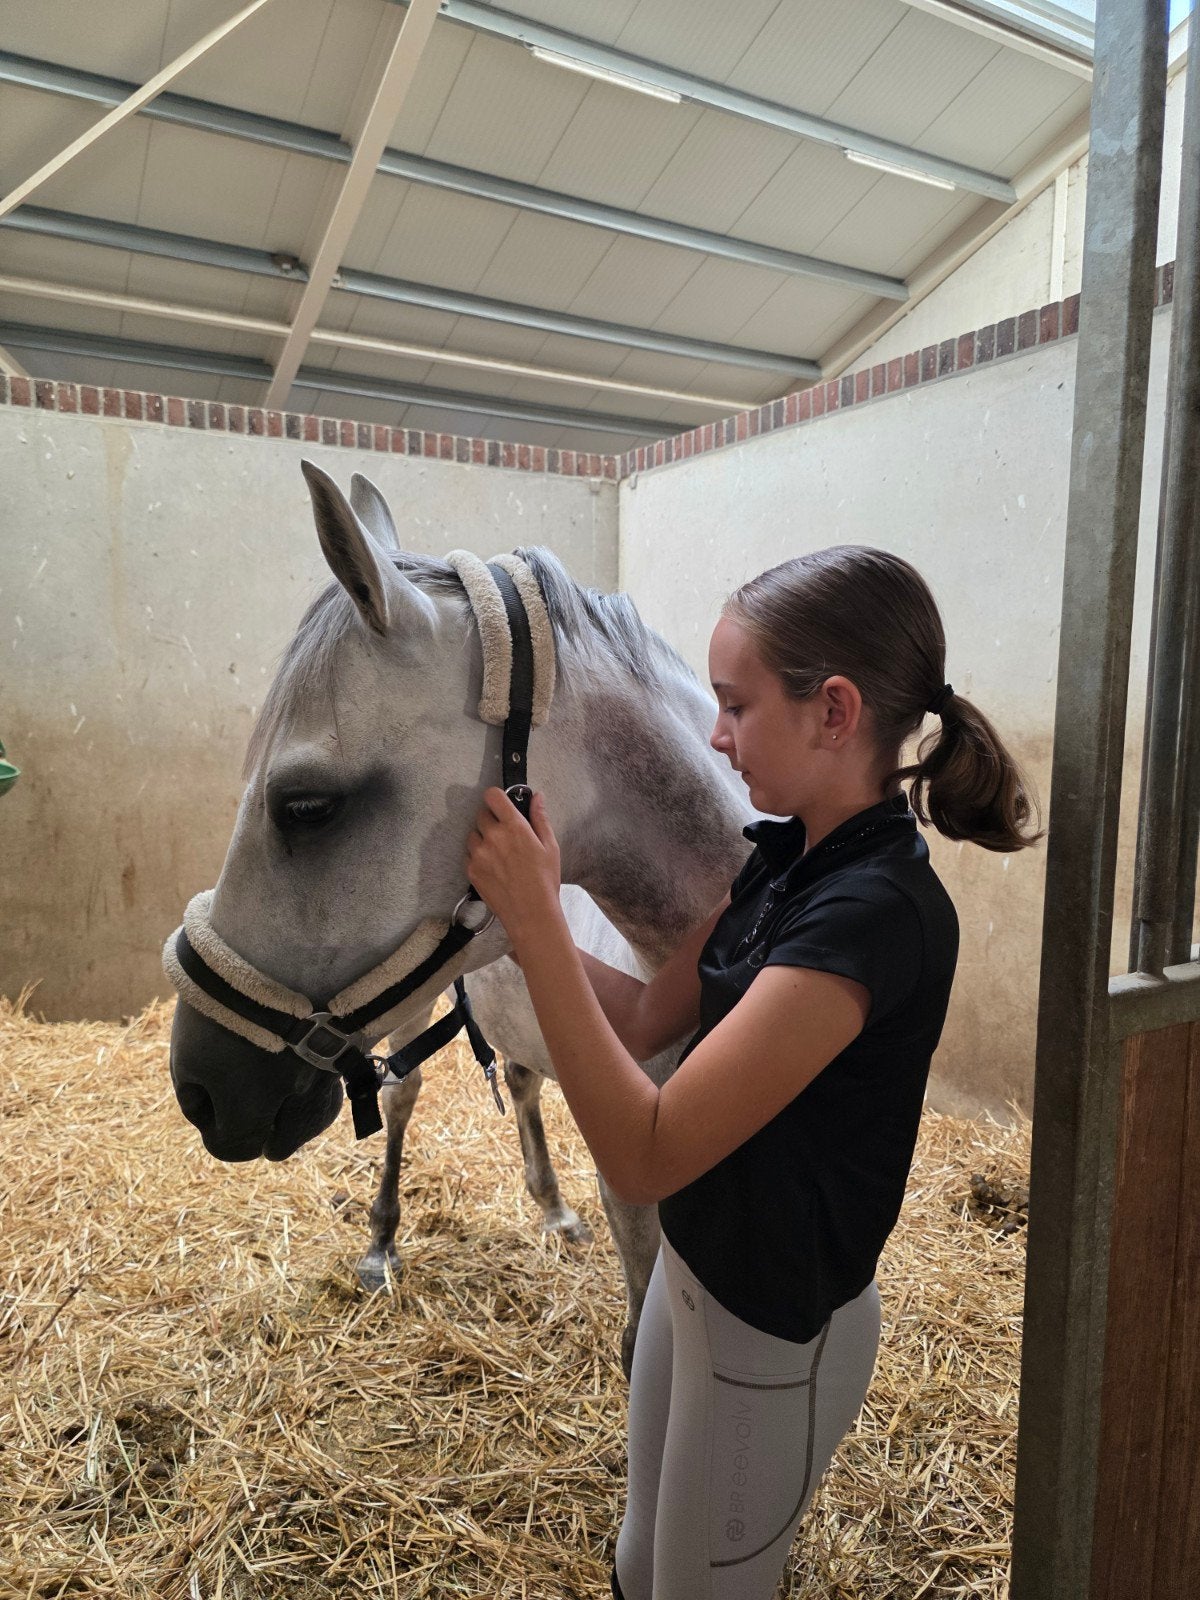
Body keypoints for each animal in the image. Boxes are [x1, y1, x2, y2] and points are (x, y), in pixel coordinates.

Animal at [167, 461, 751, 1370]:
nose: (197, 1089)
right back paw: (381, 1244)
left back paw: (552, 1207)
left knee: (518, 1076)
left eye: (307, 806)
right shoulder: (637, 1191)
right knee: (403, 1094)